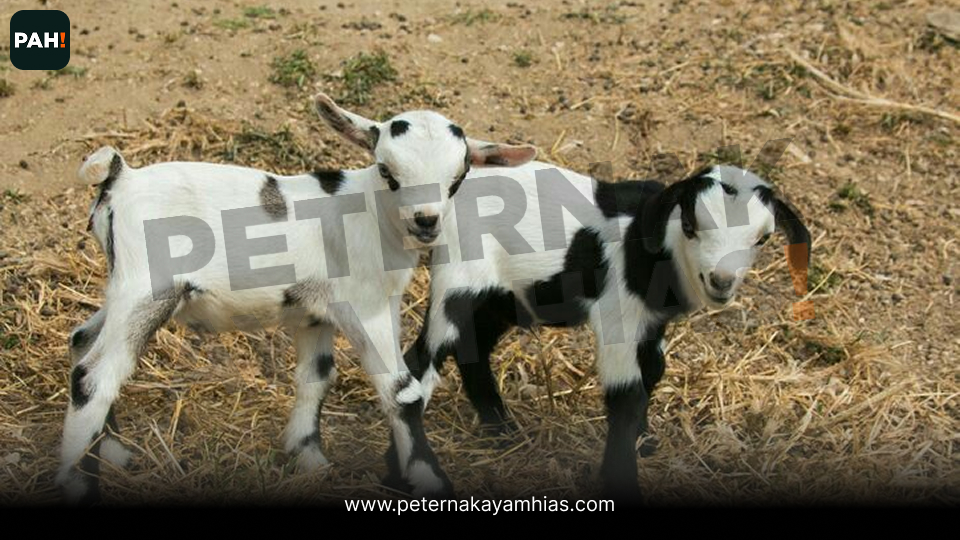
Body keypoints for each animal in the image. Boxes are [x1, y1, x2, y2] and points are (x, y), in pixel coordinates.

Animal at [58, 93, 536, 504]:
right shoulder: (367, 307)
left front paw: (308, 458)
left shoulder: (314, 315)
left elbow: (316, 376)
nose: (426, 221)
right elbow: (401, 391)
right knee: (93, 376)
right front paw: (429, 481)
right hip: (148, 289)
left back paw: (112, 452)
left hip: (126, 287)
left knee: (83, 340)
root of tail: (119, 177)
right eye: (387, 172)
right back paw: (77, 482)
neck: (367, 214)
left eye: (460, 176)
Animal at [396, 163, 810, 498]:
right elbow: (626, 395)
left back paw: (502, 430)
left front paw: (645, 440)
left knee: (473, 348)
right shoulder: (618, 314)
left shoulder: (652, 321)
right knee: (422, 360)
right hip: (457, 281)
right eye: (690, 226)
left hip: (501, 298)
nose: (721, 281)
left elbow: (654, 371)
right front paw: (622, 476)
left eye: (763, 238)